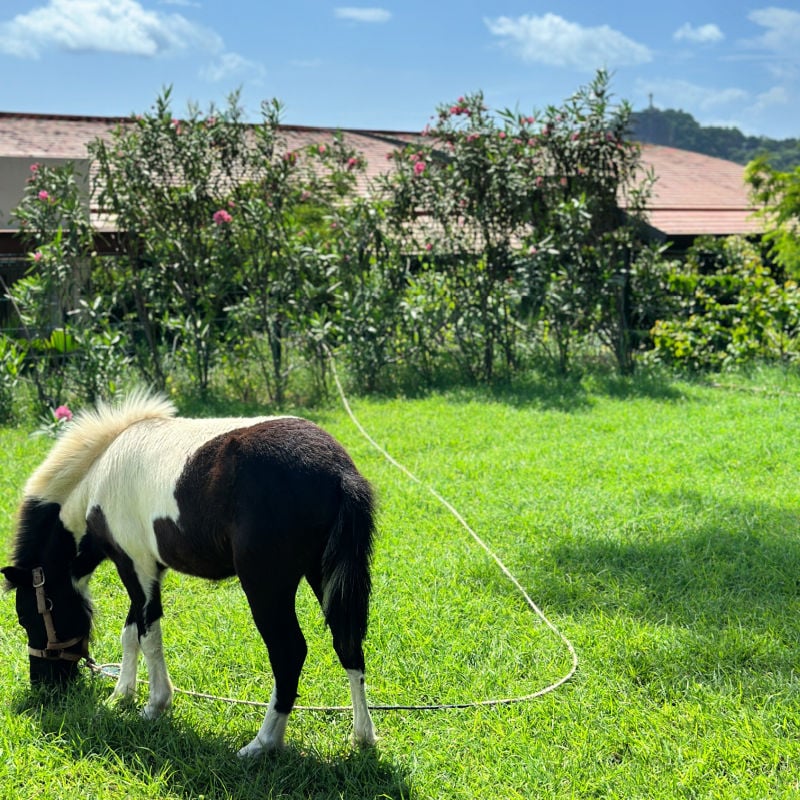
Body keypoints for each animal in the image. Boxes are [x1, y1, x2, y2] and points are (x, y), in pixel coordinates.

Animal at [1, 392, 376, 756]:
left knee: (289, 652)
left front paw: (154, 706)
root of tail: (339, 471)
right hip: (324, 576)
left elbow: (148, 634)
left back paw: (262, 744)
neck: (99, 475)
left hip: (266, 585)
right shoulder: (143, 569)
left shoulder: (134, 565)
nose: (44, 685)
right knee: (347, 644)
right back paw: (362, 737)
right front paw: (120, 696)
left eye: (28, 617)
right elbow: (131, 633)